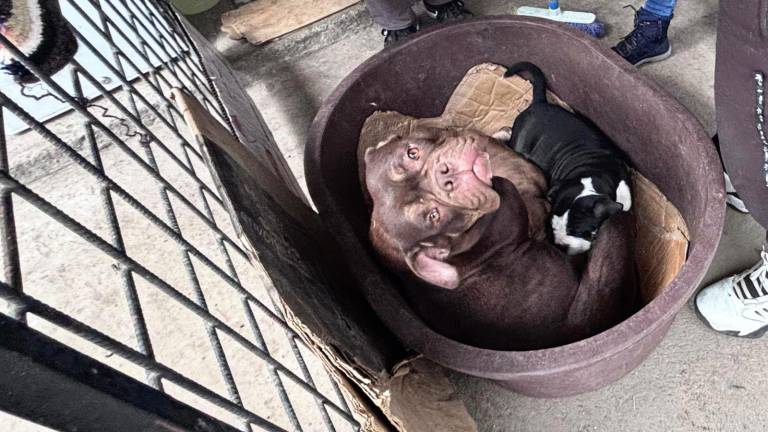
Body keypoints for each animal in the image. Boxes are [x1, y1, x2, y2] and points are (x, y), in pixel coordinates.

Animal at [501, 62, 632, 255]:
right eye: (552, 225)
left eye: (582, 232)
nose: (562, 246)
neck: (594, 174)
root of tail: (540, 102)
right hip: (520, 140)